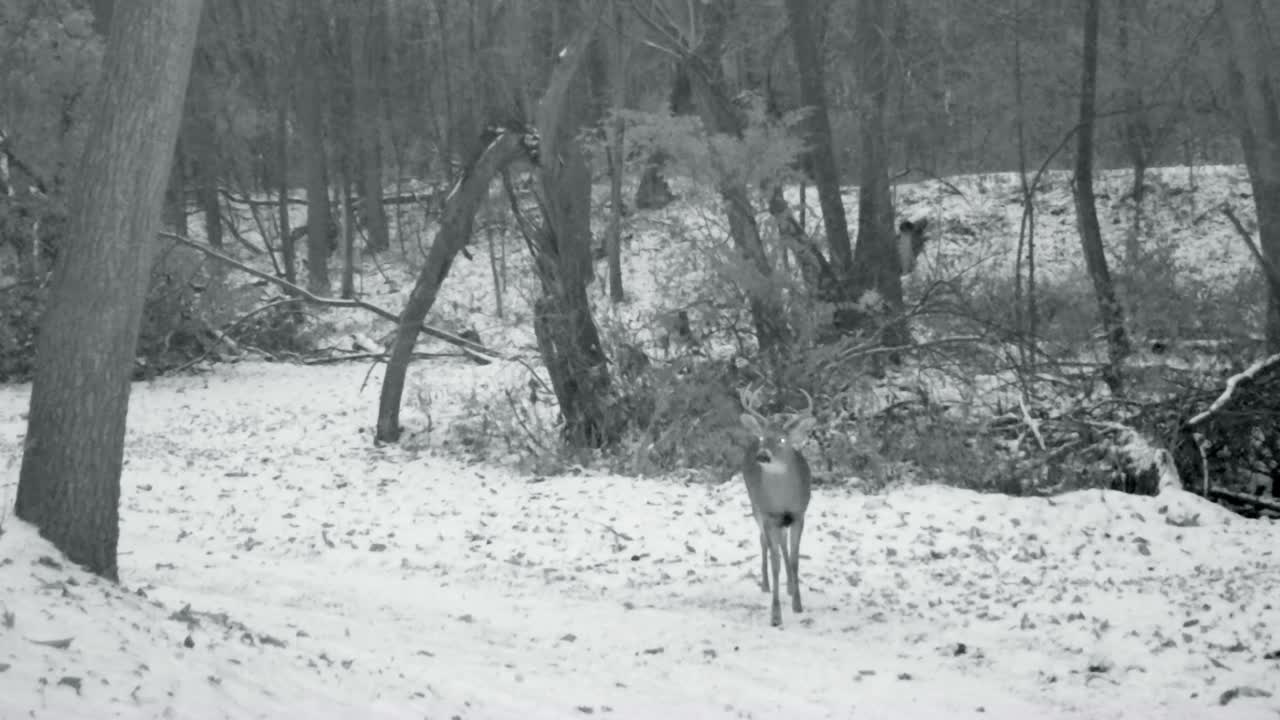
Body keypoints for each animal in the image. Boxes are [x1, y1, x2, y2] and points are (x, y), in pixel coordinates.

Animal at [738, 387, 816, 627]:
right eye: (764, 437)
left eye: (782, 439)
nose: (763, 455)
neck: (783, 499)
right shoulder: (769, 516)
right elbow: (775, 563)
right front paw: (775, 615)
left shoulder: (799, 515)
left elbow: (795, 559)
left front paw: (798, 605)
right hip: (756, 506)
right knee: (763, 540)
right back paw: (765, 584)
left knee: (782, 544)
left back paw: (790, 586)